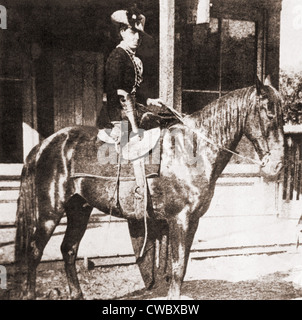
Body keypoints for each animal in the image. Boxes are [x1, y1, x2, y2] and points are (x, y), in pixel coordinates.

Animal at [14, 76, 284, 298]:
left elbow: (182, 265)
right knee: (34, 252)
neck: (191, 149)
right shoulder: (179, 219)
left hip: (79, 209)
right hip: (49, 212)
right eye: (268, 113)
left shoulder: (192, 220)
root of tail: (43, 146)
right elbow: (176, 267)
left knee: (68, 249)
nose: (278, 164)